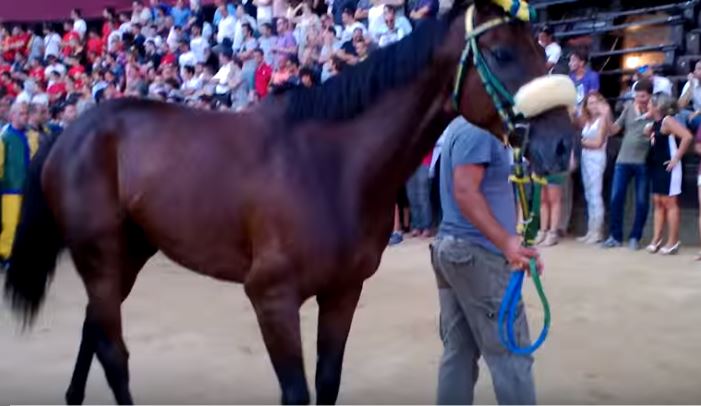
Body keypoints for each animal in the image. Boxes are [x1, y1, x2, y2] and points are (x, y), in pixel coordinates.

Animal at [4, 0, 577, 404]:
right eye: (502, 53)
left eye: (541, 49)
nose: (563, 144)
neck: (330, 166)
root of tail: (70, 131)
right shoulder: (272, 299)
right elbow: (297, 391)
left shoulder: (342, 294)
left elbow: (327, 383)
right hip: (101, 255)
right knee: (113, 351)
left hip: (129, 253)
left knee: (94, 332)